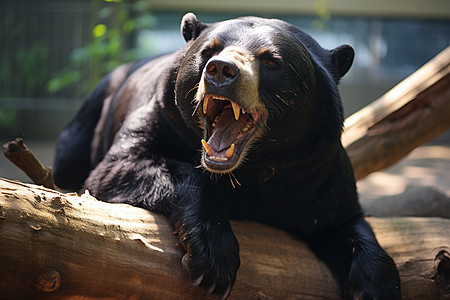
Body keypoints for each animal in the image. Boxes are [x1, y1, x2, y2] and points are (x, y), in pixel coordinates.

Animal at [53, 12, 400, 298]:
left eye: (271, 61)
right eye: (209, 51)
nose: (221, 70)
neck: (253, 168)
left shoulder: (318, 169)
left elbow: (345, 221)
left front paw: (376, 286)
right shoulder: (160, 116)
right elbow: (120, 167)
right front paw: (213, 262)